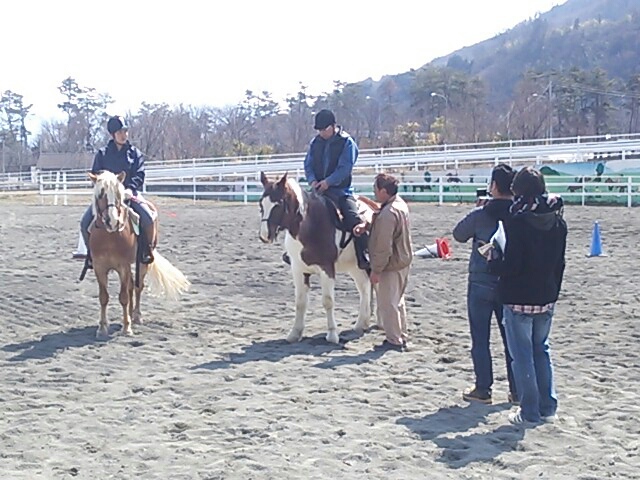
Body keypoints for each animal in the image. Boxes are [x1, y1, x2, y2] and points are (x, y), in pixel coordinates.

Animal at [87, 170, 191, 338]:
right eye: (101, 194)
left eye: (119, 194)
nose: (112, 221)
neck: (109, 237)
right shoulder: (99, 267)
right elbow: (104, 297)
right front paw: (102, 328)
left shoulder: (123, 266)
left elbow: (123, 297)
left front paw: (126, 328)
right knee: (131, 286)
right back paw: (129, 315)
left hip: (142, 262)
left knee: (137, 287)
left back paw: (136, 317)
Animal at [258, 172, 376, 344]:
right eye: (261, 204)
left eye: (278, 204)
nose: (264, 236)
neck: (310, 226)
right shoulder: (298, 269)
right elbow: (300, 302)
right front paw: (295, 333)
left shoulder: (327, 269)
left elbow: (328, 301)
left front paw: (332, 335)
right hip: (355, 267)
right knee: (365, 288)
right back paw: (362, 323)